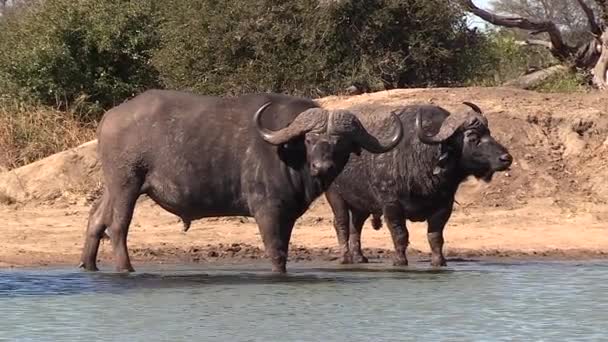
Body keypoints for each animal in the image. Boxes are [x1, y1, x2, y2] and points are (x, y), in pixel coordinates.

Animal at [79, 90, 404, 272]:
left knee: (96, 217)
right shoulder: (267, 211)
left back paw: (88, 264)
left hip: (112, 186)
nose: (323, 166)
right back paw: (126, 268)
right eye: (310, 139)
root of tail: (110, 117)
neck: (289, 153)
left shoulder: (288, 215)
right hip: (127, 182)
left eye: (340, 142)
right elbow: (276, 252)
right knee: (118, 225)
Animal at [326, 101, 510, 268]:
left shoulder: (444, 206)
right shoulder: (391, 205)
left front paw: (439, 262)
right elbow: (400, 234)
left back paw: (359, 257)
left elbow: (435, 237)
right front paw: (400, 261)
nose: (506, 158)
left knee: (356, 226)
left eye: (489, 133)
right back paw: (345, 258)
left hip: (361, 204)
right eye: (472, 138)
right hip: (335, 197)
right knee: (341, 224)